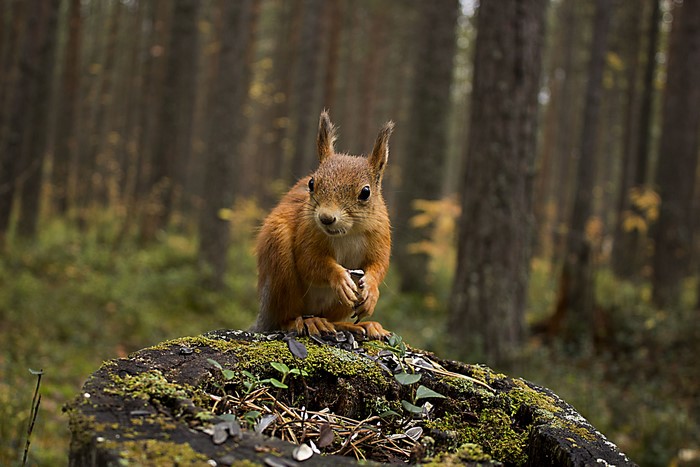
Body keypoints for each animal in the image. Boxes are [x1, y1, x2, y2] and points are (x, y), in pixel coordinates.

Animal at [252, 111, 393, 340]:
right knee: (285, 317)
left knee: (332, 318)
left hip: (339, 305)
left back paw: (359, 325)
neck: (347, 233)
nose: (326, 218)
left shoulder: (380, 235)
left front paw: (371, 290)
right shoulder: (307, 232)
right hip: (279, 265)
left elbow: (379, 265)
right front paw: (339, 277)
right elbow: (310, 262)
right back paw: (307, 322)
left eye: (365, 192)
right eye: (311, 183)